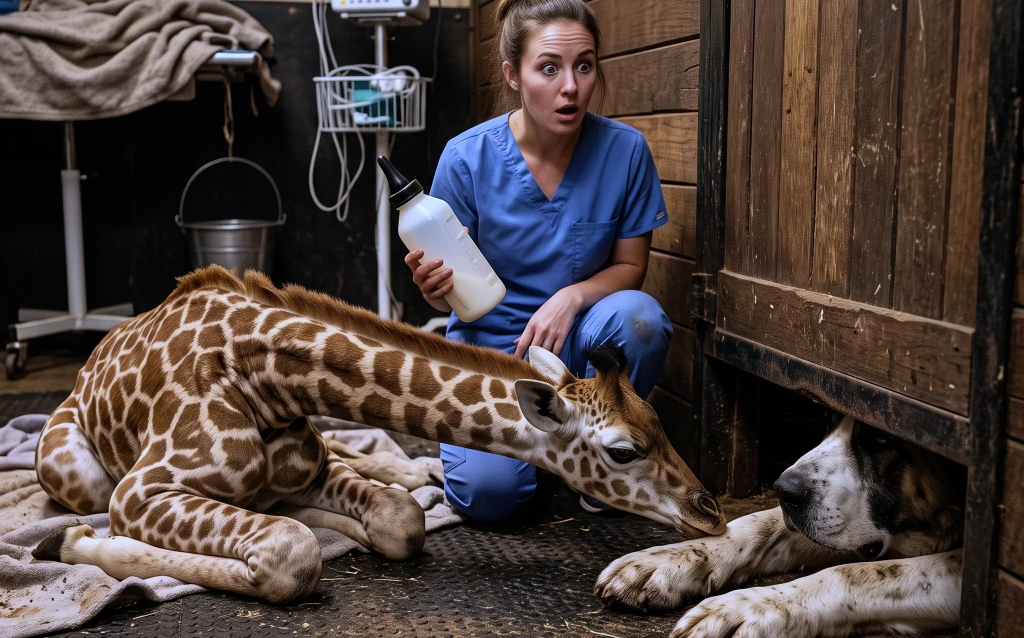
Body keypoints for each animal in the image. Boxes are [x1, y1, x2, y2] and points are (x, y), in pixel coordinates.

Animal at [32, 266, 726, 604]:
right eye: (623, 451)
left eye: (660, 422)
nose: (711, 513)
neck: (266, 377)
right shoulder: (138, 493)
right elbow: (289, 553)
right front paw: (76, 544)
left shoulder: (309, 465)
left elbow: (400, 521)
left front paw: (374, 507)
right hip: (74, 470)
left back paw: (417, 471)